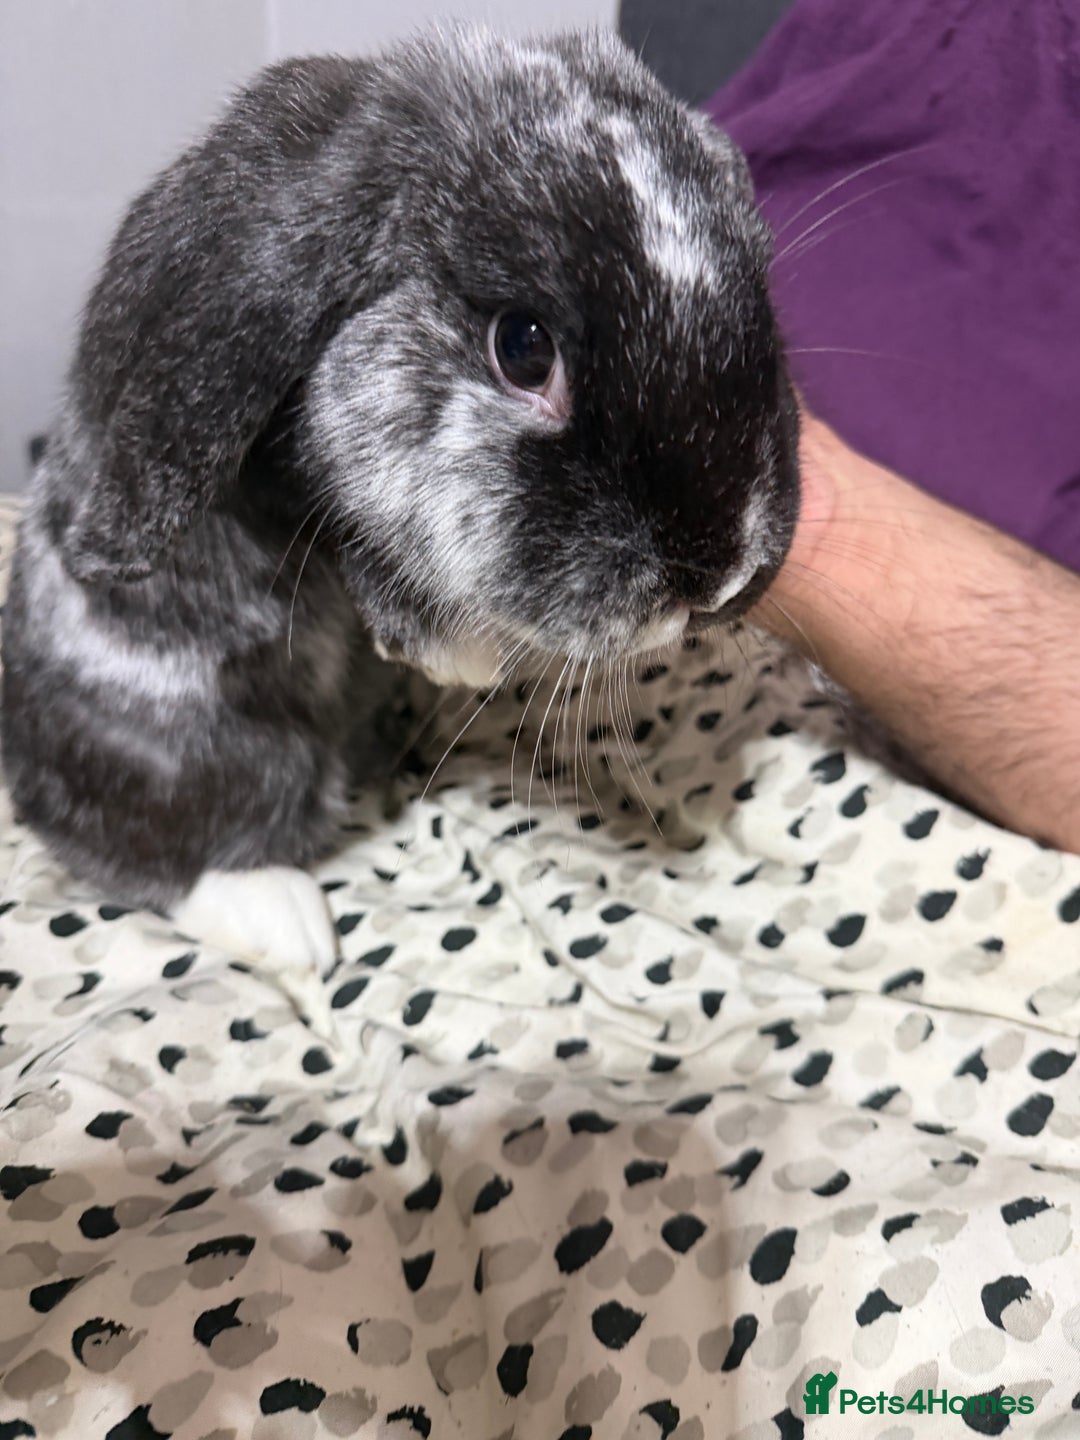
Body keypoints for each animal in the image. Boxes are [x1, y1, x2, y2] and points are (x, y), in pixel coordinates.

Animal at [0, 24, 799, 980]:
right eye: (523, 347)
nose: (719, 579)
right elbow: (344, 514)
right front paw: (466, 657)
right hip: (190, 735)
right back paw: (285, 922)